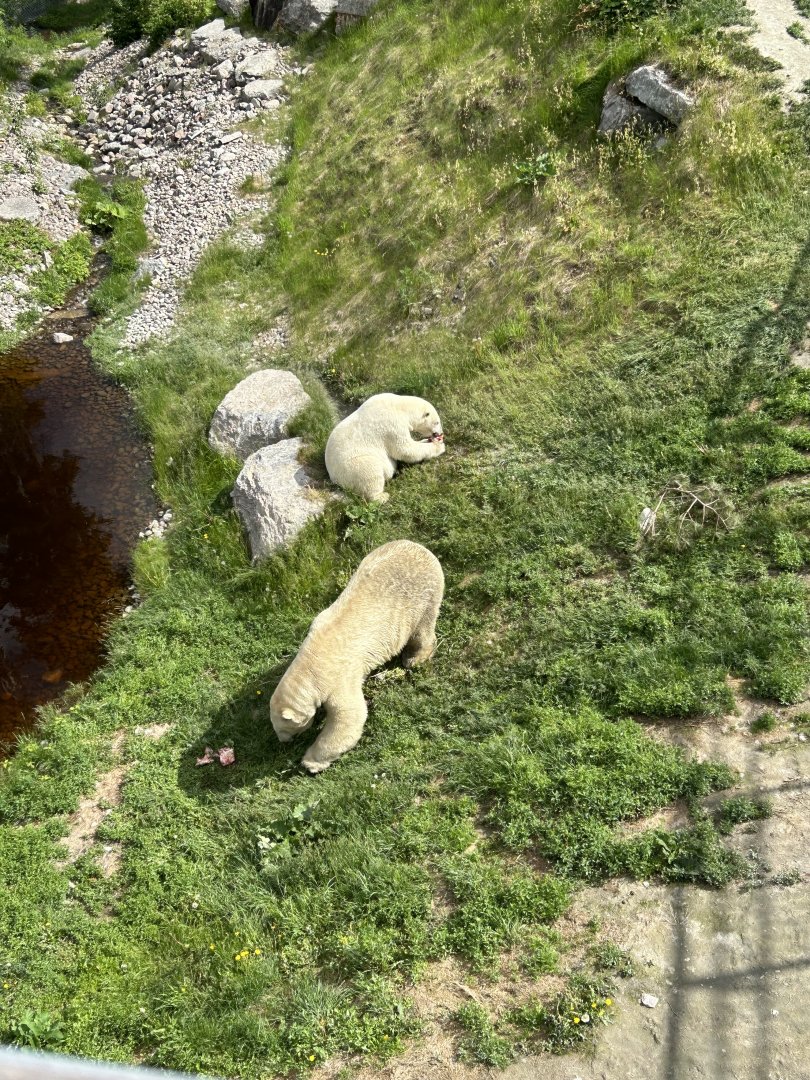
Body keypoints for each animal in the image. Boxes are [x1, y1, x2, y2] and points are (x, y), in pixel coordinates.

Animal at [270, 540, 444, 773]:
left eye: (284, 727)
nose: (283, 741)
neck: (311, 663)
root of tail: (422, 548)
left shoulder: (338, 677)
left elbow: (350, 716)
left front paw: (310, 762)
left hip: (422, 597)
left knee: (422, 629)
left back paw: (413, 658)